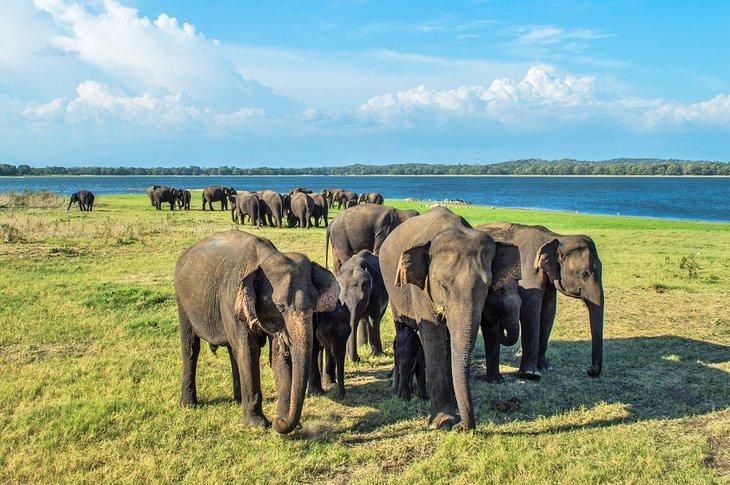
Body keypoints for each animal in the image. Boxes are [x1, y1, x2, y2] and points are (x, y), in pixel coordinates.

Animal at [174, 229, 339, 434]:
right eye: (280, 306)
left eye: (314, 304)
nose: (279, 421)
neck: (265, 256)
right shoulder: (232, 301)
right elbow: (249, 351)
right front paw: (258, 425)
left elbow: (277, 356)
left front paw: (285, 422)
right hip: (182, 301)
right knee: (191, 347)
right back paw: (188, 404)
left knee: (233, 351)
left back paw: (238, 400)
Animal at [379, 206, 498, 431]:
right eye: (443, 286)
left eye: (487, 286)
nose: (462, 427)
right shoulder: (420, 286)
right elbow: (434, 335)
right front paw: (442, 422)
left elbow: (449, 341)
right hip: (392, 290)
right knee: (403, 330)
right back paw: (402, 394)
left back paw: (420, 396)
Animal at [476, 222, 604, 380]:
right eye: (583, 273)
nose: (590, 370)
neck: (556, 238)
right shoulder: (529, 274)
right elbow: (530, 312)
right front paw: (530, 374)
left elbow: (548, 313)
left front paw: (545, 367)